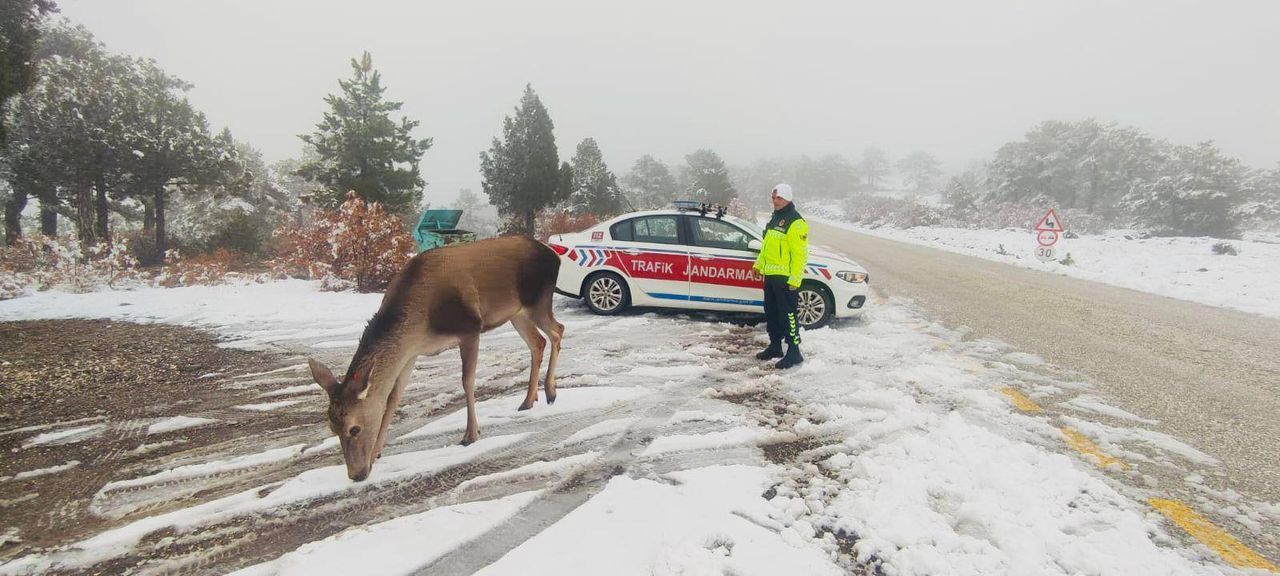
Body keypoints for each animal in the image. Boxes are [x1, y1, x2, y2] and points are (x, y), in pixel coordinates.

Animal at [307, 235, 563, 481]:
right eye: (332, 428)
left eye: (354, 429)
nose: (356, 475)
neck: (421, 323)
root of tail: (553, 256)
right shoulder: (411, 353)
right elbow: (393, 398)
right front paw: (377, 452)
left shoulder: (470, 328)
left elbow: (467, 381)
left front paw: (471, 434)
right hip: (516, 312)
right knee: (538, 342)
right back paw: (529, 399)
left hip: (539, 300)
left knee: (558, 330)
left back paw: (550, 392)